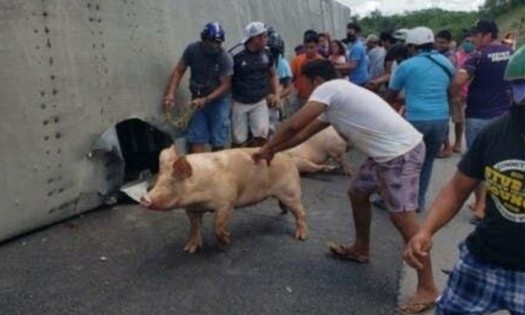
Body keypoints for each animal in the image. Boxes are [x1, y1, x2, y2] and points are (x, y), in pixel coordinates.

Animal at [141, 146, 310, 254]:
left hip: (290, 191)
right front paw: (188, 250)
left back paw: (301, 237)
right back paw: (283, 212)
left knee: (301, 212)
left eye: (171, 183)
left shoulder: (227, 202)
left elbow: (218, 225)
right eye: (157, 181)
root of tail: (288, 157)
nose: (144, 198)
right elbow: (194, 227)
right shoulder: (192, 209)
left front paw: (227, 240)